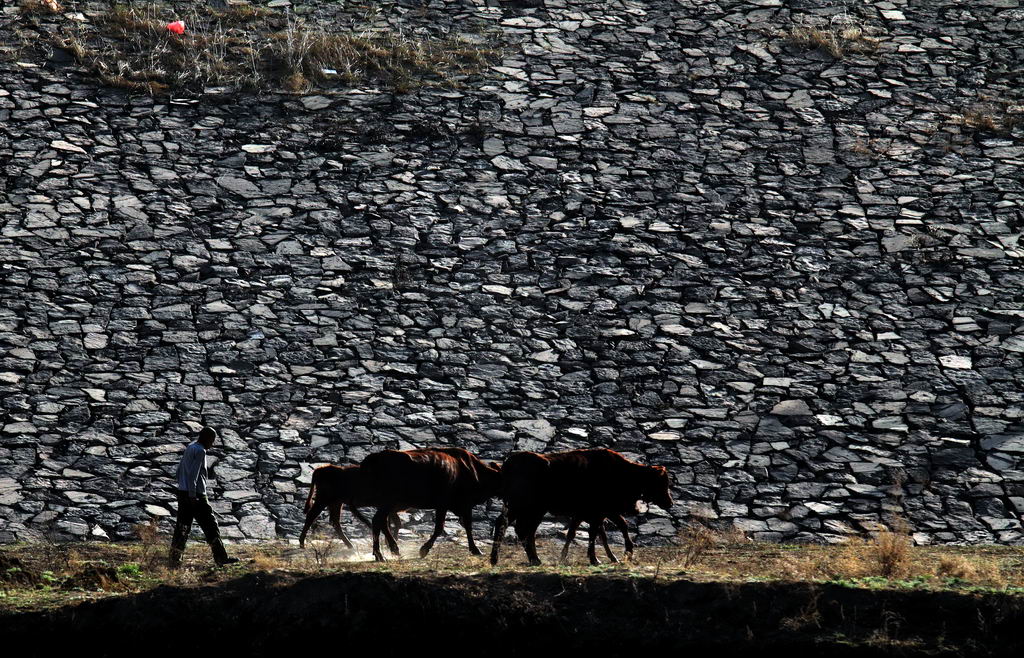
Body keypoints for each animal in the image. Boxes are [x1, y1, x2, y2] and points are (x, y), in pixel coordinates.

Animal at [360, 448, 503, 560]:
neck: (473, 470)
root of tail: (377, 456)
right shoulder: (458, 505)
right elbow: (448, 527)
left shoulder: (449, 506)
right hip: (388, 502)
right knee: (378, 521)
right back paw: (382, 554)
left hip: (387, 504)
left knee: (381, 522)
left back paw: (390, 551)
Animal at [487, 450, 671, 568]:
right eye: (661, 482)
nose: (669, 502)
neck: (623, 473)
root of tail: (507, 464)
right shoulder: (599, 513)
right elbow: (596, 534)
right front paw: (597, 559)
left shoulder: (600, 513)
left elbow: (609, 530)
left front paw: (620, 555)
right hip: (527, 508)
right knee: (516, 528)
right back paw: (516, 559)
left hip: (529, 510)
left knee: (518, 528)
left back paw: (522, 560)